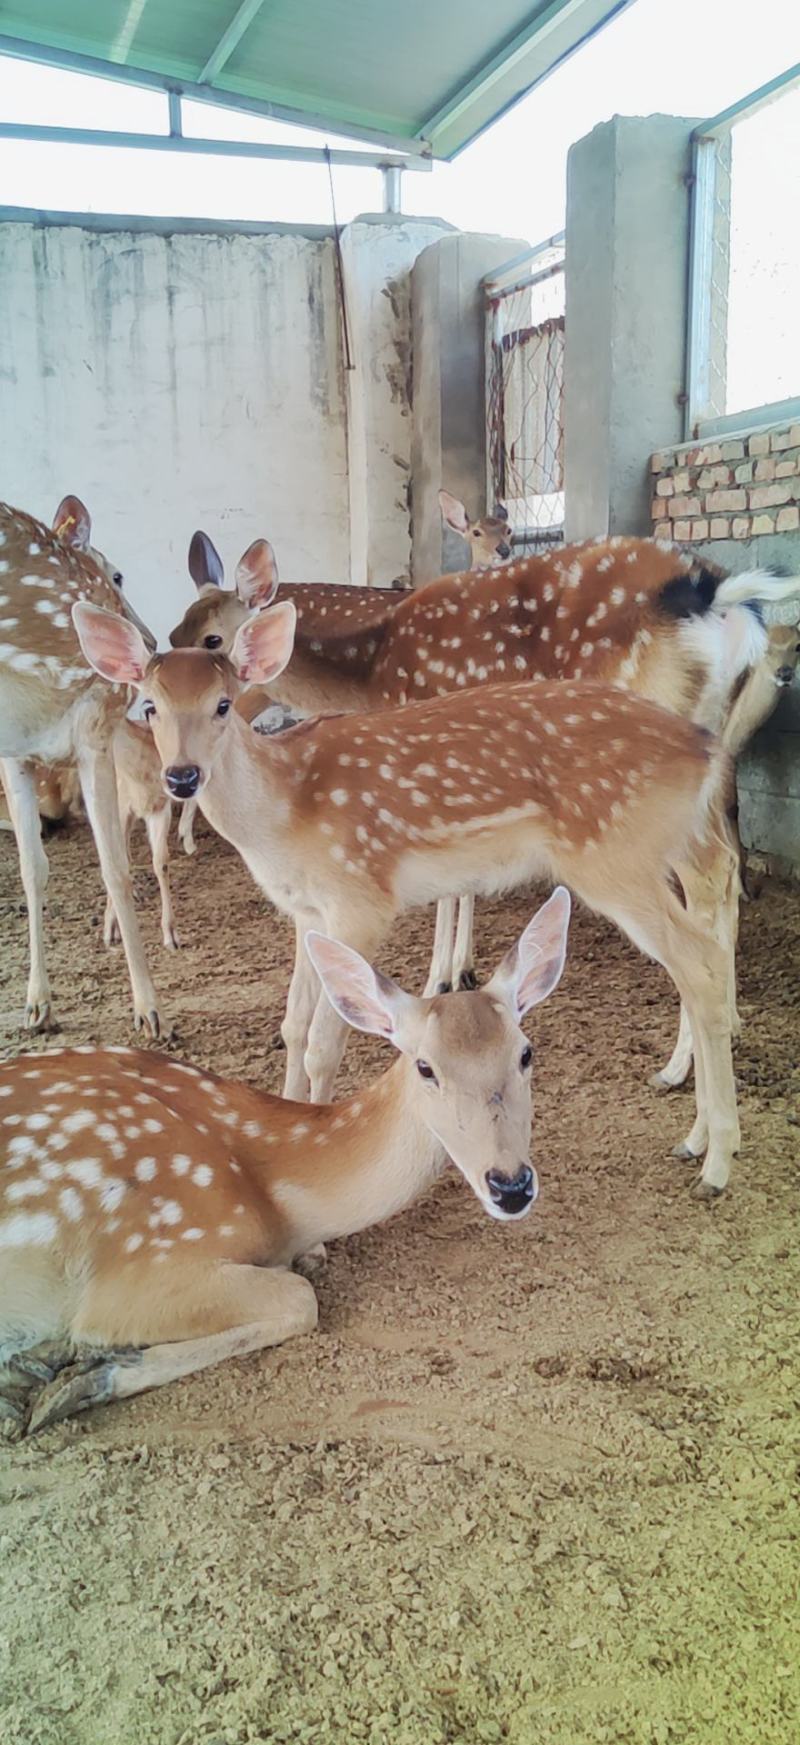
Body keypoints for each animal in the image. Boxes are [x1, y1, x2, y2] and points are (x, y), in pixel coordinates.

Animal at [0, 499, 163, 1036]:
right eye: (117, 573)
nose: (149, 643)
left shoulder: (74, 737)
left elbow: (108, 868)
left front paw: (148, 1009)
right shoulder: (38, 743)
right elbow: (38, 868)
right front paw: (37, 1005)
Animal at [0, 891, 570, 1435]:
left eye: (526, 1053)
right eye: (425, 1067)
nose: (511, 1185)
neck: (277, 1197)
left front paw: (52, 1365)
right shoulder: (142, 1260)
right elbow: (301, 1298)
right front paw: (74, 1373)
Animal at [75, 599, 743, 1199]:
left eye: (221, 704)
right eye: (151, 705)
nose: (182, 776)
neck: (283, 814)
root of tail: (706, 748)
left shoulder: (360, 899)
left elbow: (324, 1044)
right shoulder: (307, 912)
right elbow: (292, 1025)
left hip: (614, 856)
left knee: (698, 962)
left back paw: (715, 1163)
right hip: (662, 848)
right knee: (707, 917)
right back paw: (693, 1129)